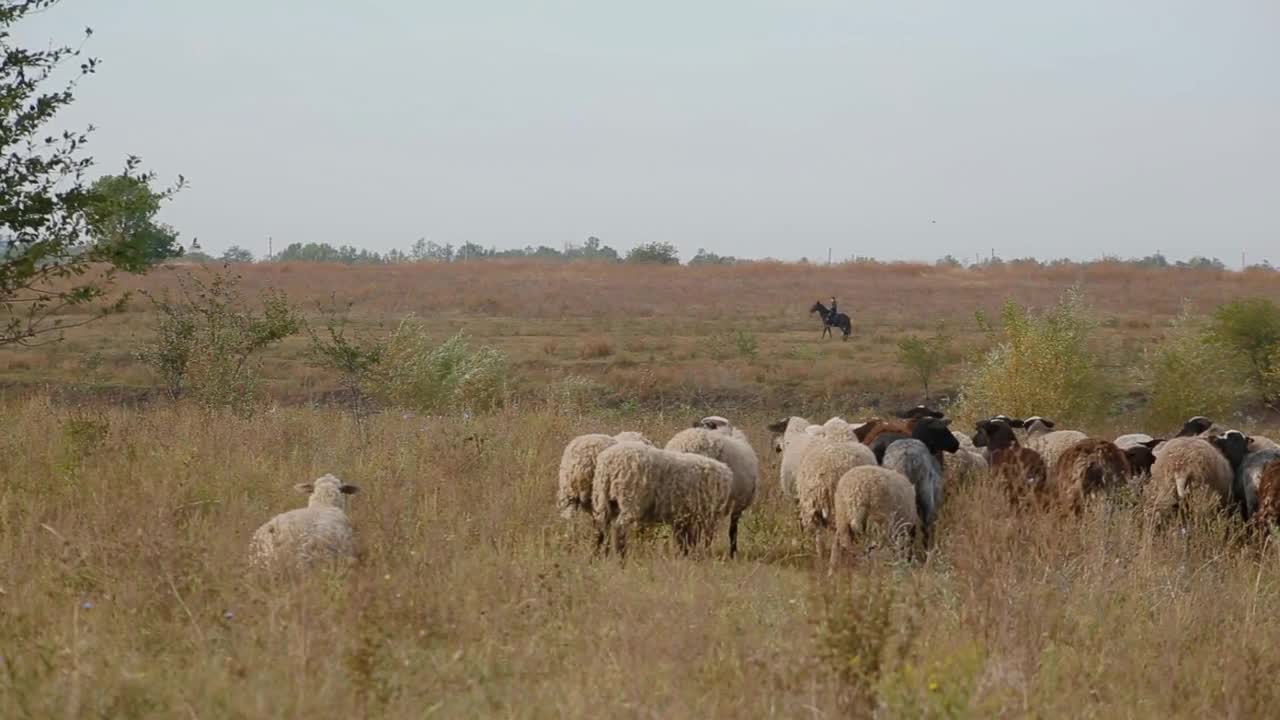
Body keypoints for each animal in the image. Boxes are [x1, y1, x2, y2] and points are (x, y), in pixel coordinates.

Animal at [588, 438, 732, 556]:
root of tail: (609, 465)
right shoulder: (700, 514)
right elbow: (692, 539)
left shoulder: (683, 516)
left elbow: (684, 540)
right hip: (629, 498)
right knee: (619, 529)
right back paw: (621, 559)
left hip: (602, 498)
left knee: (599, 529)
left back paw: (596, 557)